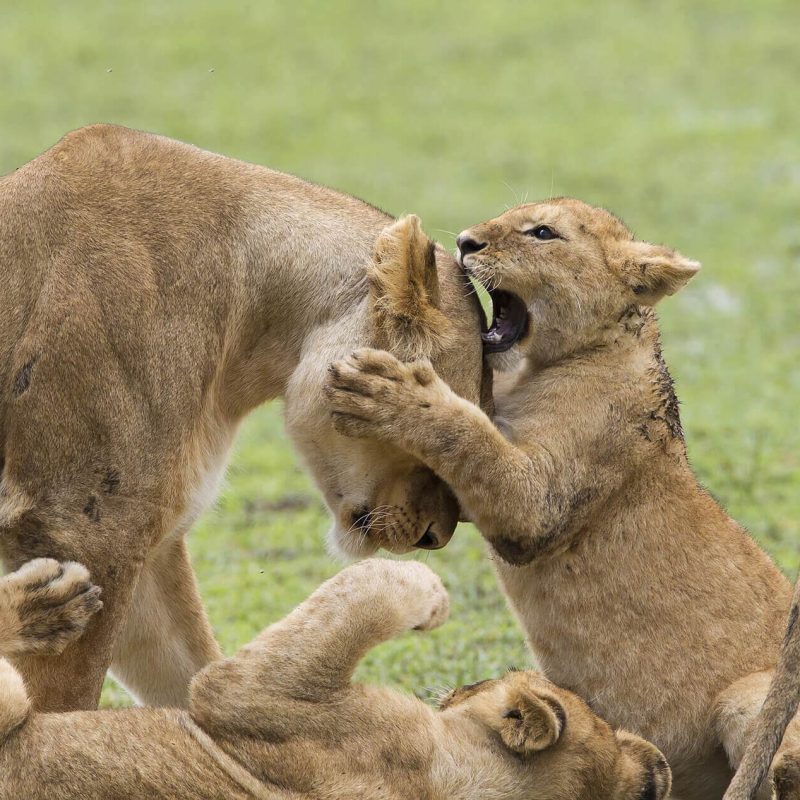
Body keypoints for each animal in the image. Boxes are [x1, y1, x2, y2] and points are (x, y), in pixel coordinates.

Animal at [0, 557, 670, 800]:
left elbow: (370, 583)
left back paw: (47, 600)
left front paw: (431, 595)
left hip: (10, 704)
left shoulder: (249, 694)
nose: (455, 689)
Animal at [325, 198, 799, 799]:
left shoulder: (536, 509)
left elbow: (469, 435)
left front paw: (390, 393)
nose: (464, 241)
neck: (545, 365)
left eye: (543, 234)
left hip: (746, 695)